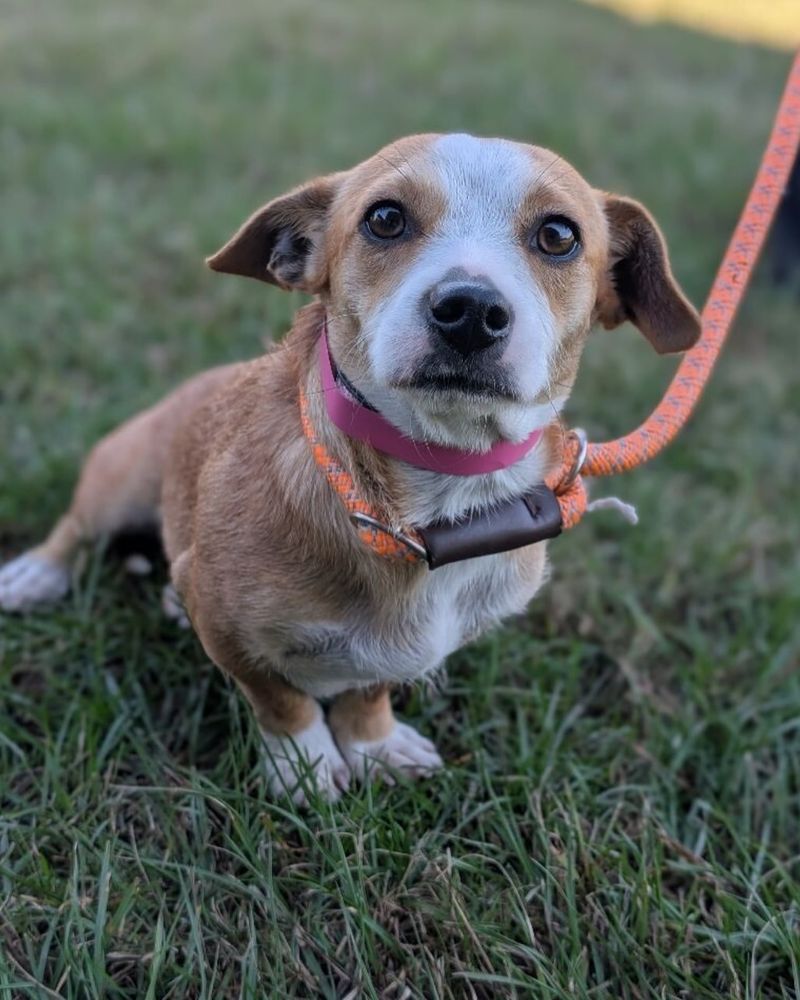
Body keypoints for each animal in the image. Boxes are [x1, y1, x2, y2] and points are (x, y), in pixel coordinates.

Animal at [0, 135, 700, 804]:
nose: (471, 310)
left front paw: (371, 742)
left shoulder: (394, 644)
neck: (435, 495)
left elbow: (368, 685)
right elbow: (279, 697)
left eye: (558, 235)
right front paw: (304, 761)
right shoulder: (224, 623)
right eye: (385, 218)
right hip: (121, 478)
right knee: (75, 530)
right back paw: (38, 574)